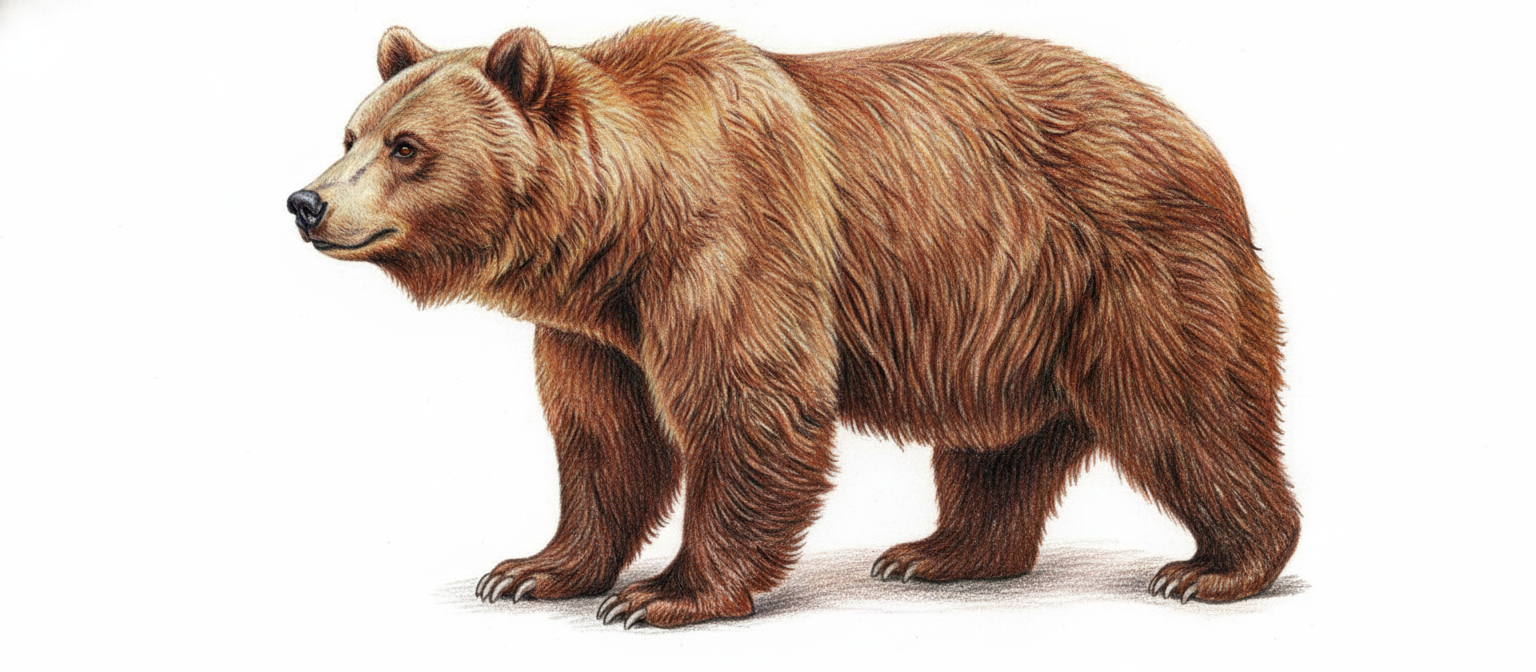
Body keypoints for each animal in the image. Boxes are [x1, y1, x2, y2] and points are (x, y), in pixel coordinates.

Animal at [287, 19, 1300, 628]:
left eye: (408, 148)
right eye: (350, 134)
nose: (306, 202)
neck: (621, 227)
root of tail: (1198, 139)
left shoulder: (733, 240)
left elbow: (749, 406)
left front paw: (664, 595)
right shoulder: (598, 328)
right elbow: (603, 438)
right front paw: (532, 569)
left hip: (1129, 267)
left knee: (1186, 410)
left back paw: (1216, 567)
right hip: (1003, 320)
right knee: (996, 447)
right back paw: (939, 553)